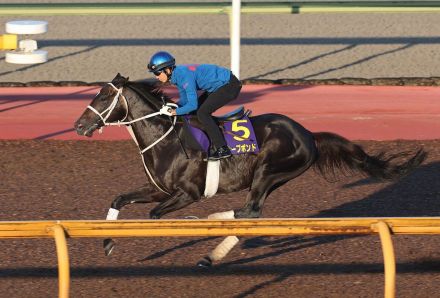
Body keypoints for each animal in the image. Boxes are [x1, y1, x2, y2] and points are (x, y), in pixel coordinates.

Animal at [75, 73, 426, 266]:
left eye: (104, 96)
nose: (78, 125)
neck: (165, 138)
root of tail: (308, 134)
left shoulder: (188, 193)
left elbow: (153, 216)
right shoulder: (158, 189)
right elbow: (119, 199)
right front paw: (107, 243)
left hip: (268, 172)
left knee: (251, 212)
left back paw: (210, 238)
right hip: (273, 178)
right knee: (248, 213)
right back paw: (212, 238)